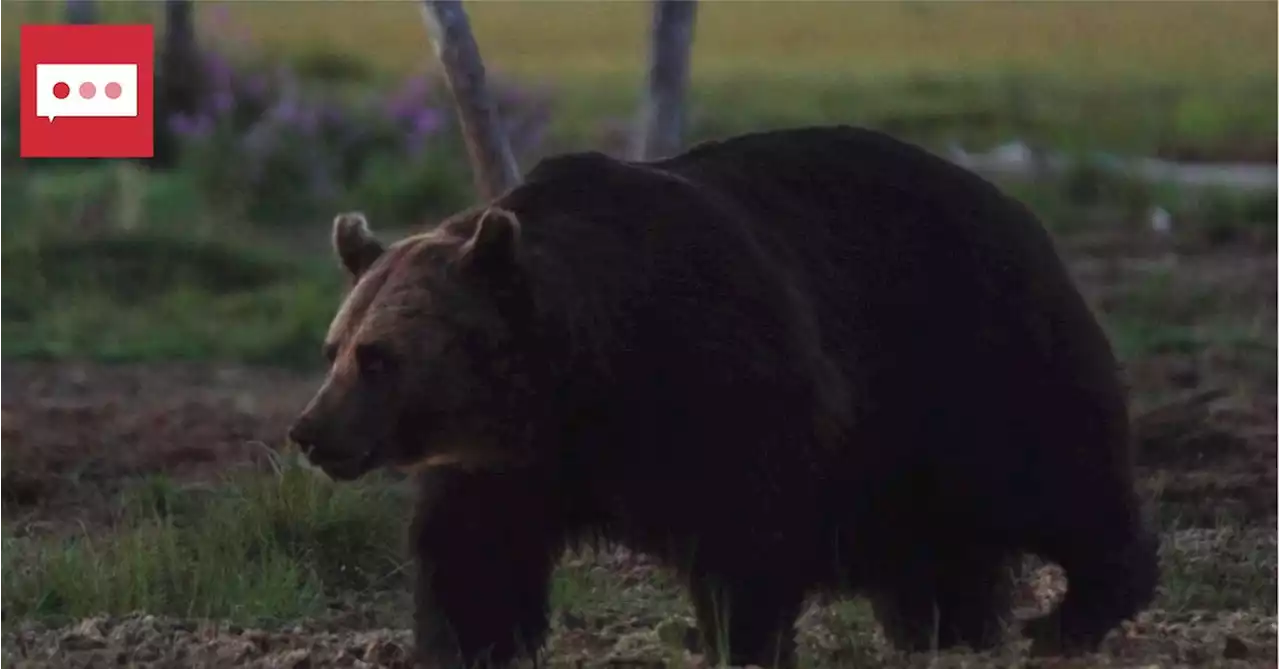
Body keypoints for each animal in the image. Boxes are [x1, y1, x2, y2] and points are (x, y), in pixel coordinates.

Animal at [290, 127, 1162, 669]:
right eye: (333, 348)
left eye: (378, 356)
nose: (310, 430)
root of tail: (1016, 205)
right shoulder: (505, 466)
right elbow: (474, 559)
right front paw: (468, 643)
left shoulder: (721, 384)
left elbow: (745, 541)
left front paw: (739, 639)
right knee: (933, 544)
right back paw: (946, 626)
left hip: (972, 348)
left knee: (1052, 473)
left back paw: (1068, 614)